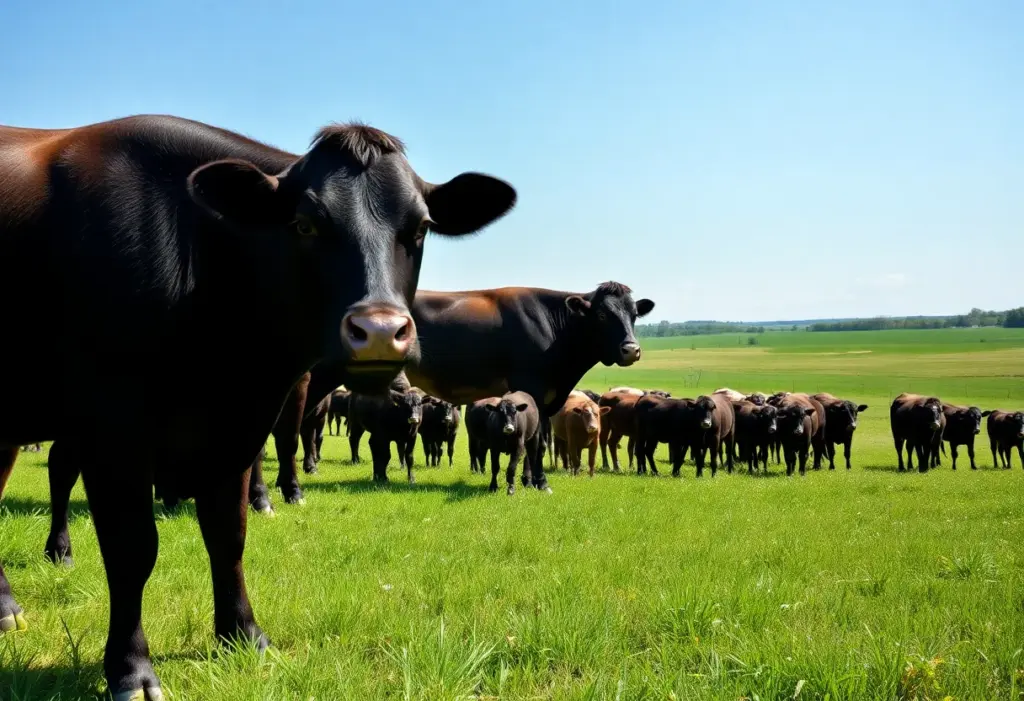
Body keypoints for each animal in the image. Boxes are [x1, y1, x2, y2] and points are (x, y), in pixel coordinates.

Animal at [0, 113, 515, 699]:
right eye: (305, 224)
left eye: (421, 228)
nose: (381, 332)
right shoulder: (113, 429)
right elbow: (133, 550)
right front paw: (131, 669)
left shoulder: (237, 427)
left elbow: (229, 534)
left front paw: (244, 635)